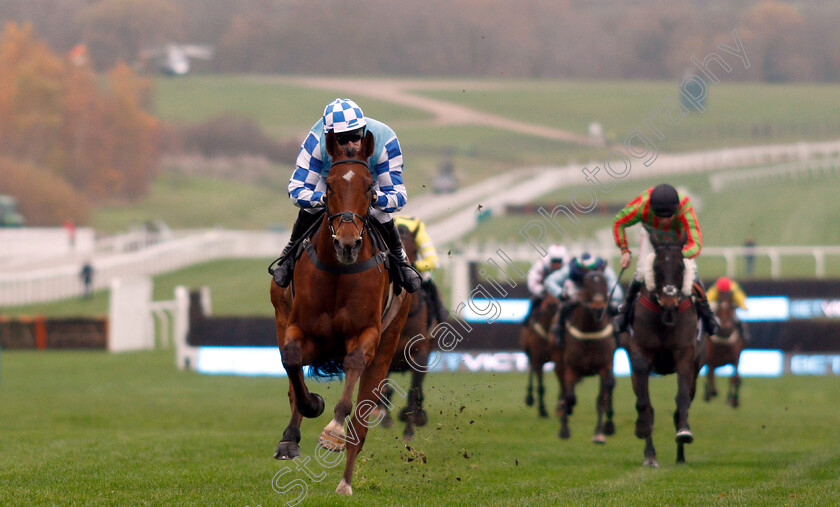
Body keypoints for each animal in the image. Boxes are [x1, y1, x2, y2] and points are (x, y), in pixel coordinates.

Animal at [270, 130, 412, 496]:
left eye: (369, 186)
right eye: (331, 186)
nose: (347, 244)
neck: (338, 271)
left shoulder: (367, 334)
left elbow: (354, 367)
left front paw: (333, 430)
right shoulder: (299, 328)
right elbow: (292, 362)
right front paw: (310, 410)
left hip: (389, 343)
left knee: (360, 427)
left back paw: (345, 481)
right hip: (282, 315)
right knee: (292, 382)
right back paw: (290, 439)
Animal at [376, 222, 440, 440]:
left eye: (414, 249)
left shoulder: (421, 352)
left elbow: (414, 390)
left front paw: (409, 429)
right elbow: (383, 388)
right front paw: (385, 419)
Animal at [556, 270, 616, 444]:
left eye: (604, 282)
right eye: (586, 283)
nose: (598, 308)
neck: (590, 331)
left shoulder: (605, 365)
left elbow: (602, 398)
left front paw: (599, 433)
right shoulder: (570, 366)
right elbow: (569, 396)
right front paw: (565, 429)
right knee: (565, 391)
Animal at [628, 234, 704, 468]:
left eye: (681, 267)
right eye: (656, 267)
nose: (670, 298)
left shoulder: (685, 355)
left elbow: (682, 398)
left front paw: (684, 432)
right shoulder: (639, 354)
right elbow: (644, 404)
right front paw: (642, 429)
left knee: (682, 403)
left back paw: (680, 456)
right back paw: (650, 455)